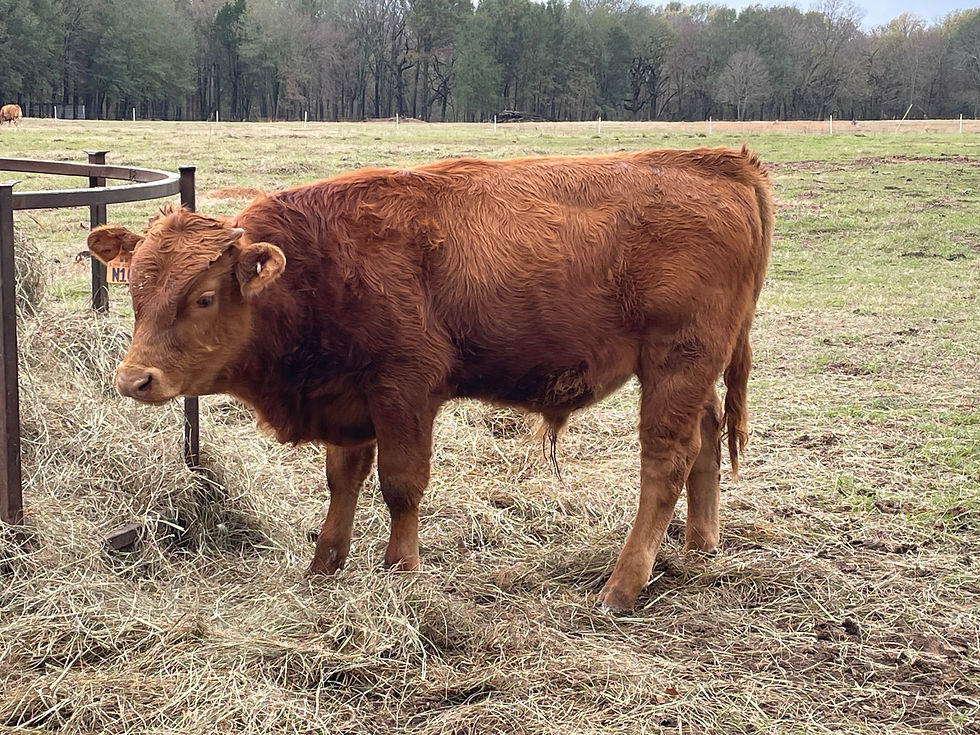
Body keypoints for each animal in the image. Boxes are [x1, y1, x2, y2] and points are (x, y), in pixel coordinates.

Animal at [88, 147, 773, 612]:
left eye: (204, 296)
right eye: (136, 288)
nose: (135, 379)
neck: (316, 264)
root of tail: (722, 165)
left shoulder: (404, 391)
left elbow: (401, 485)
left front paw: (400, 570)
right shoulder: (349, 399)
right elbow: (343, 482)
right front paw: (324, 566)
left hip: (674, 365)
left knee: (665, 462)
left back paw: (621, 587)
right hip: (694, 372)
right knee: (707, 439)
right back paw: (700, 546)